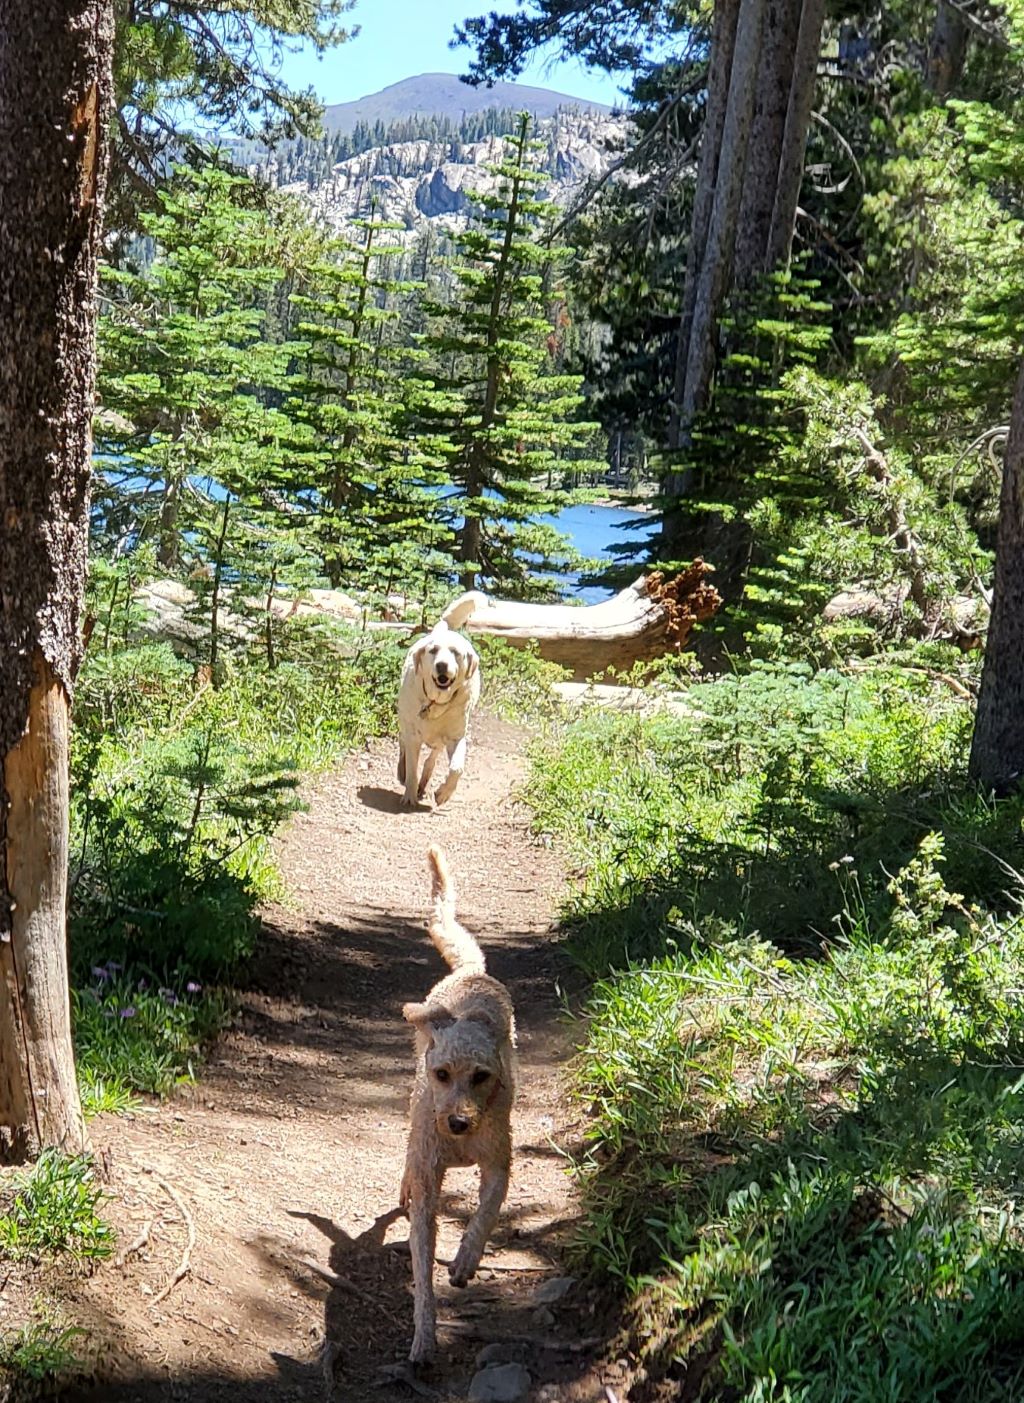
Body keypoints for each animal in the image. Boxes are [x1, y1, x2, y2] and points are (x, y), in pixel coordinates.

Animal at [395, 594, 482, 813]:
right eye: (433, 651)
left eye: (455, 652)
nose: (442, 665)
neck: (435, 702)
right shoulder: (413, 735)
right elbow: (412, 768)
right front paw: (409, 795)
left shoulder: (456, 737)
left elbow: (457, 769)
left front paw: (443, 794)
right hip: (405, 722)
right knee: (404, 748)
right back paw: (403, 773)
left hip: (440, 741)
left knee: (432, 759)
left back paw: (425, 782)